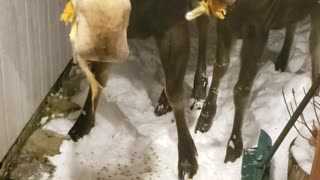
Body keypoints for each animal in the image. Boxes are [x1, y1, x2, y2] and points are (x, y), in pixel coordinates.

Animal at [195, 0, 320, 163]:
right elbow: (220, 67)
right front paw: (204, 118)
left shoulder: (259, 28)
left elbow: (242, 88)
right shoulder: (225, 23)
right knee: (293, 24)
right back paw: (281, 62)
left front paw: (234, 147)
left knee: (313, 44)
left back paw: (315, 92)